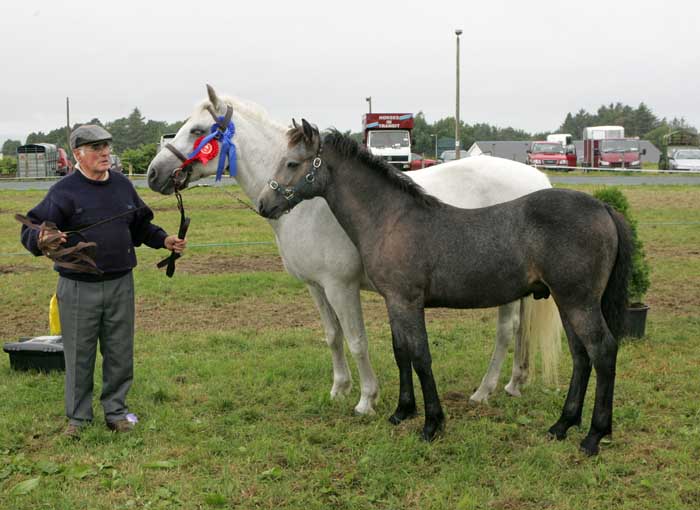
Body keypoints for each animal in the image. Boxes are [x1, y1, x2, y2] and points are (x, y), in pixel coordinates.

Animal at [148, 85, 564, 416]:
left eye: (198, 131)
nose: (154, 173)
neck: (311, 202)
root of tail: (535, 179)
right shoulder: (316, 286)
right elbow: (332, 336)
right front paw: (339, 388)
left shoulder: (341, 286)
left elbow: (357, 340)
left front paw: (367, 398)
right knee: (521, 332)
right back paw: (514, 383)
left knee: (506, 331)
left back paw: (484, 391)